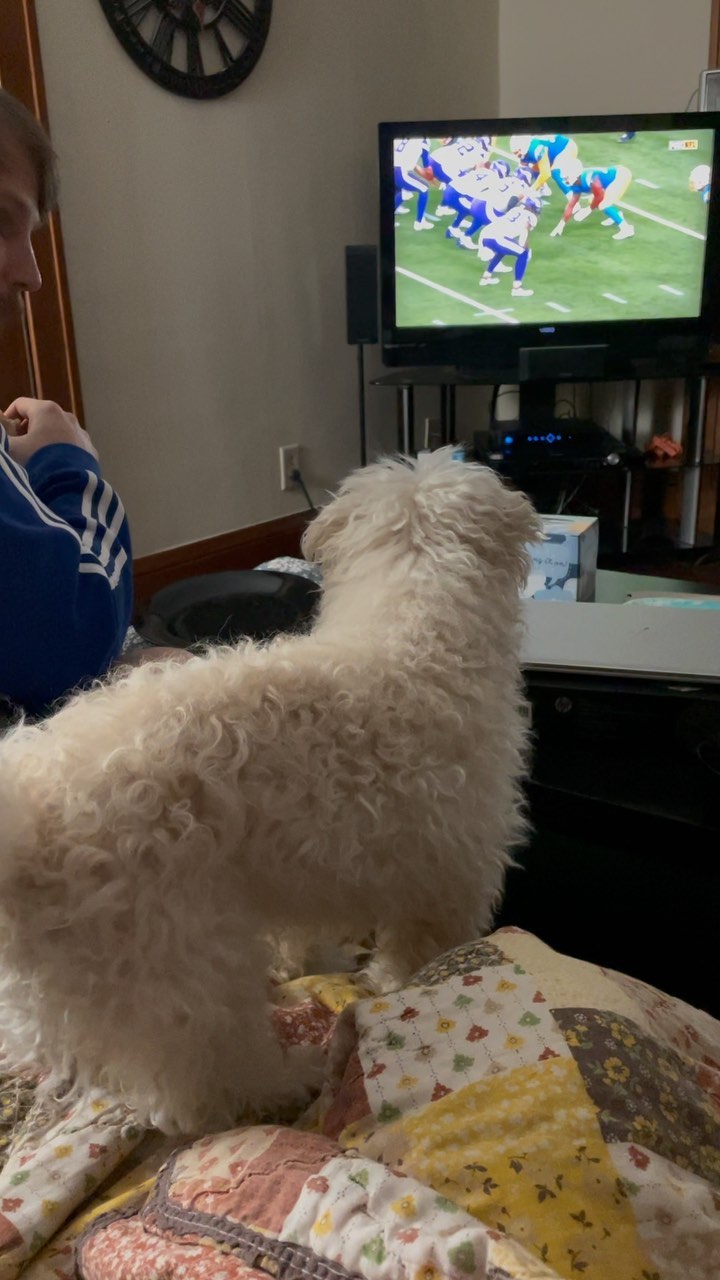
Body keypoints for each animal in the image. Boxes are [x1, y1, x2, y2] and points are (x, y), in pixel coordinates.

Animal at [0, 450, 535, 1131]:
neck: (415, 628)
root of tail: (28, 818)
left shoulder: (298, 873)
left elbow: (300, 936)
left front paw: (312, 963)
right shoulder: (446, 878)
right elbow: (418, 956)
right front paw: (399, 985)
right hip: (183, 965)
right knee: (210, 1084)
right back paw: (290, 1080)